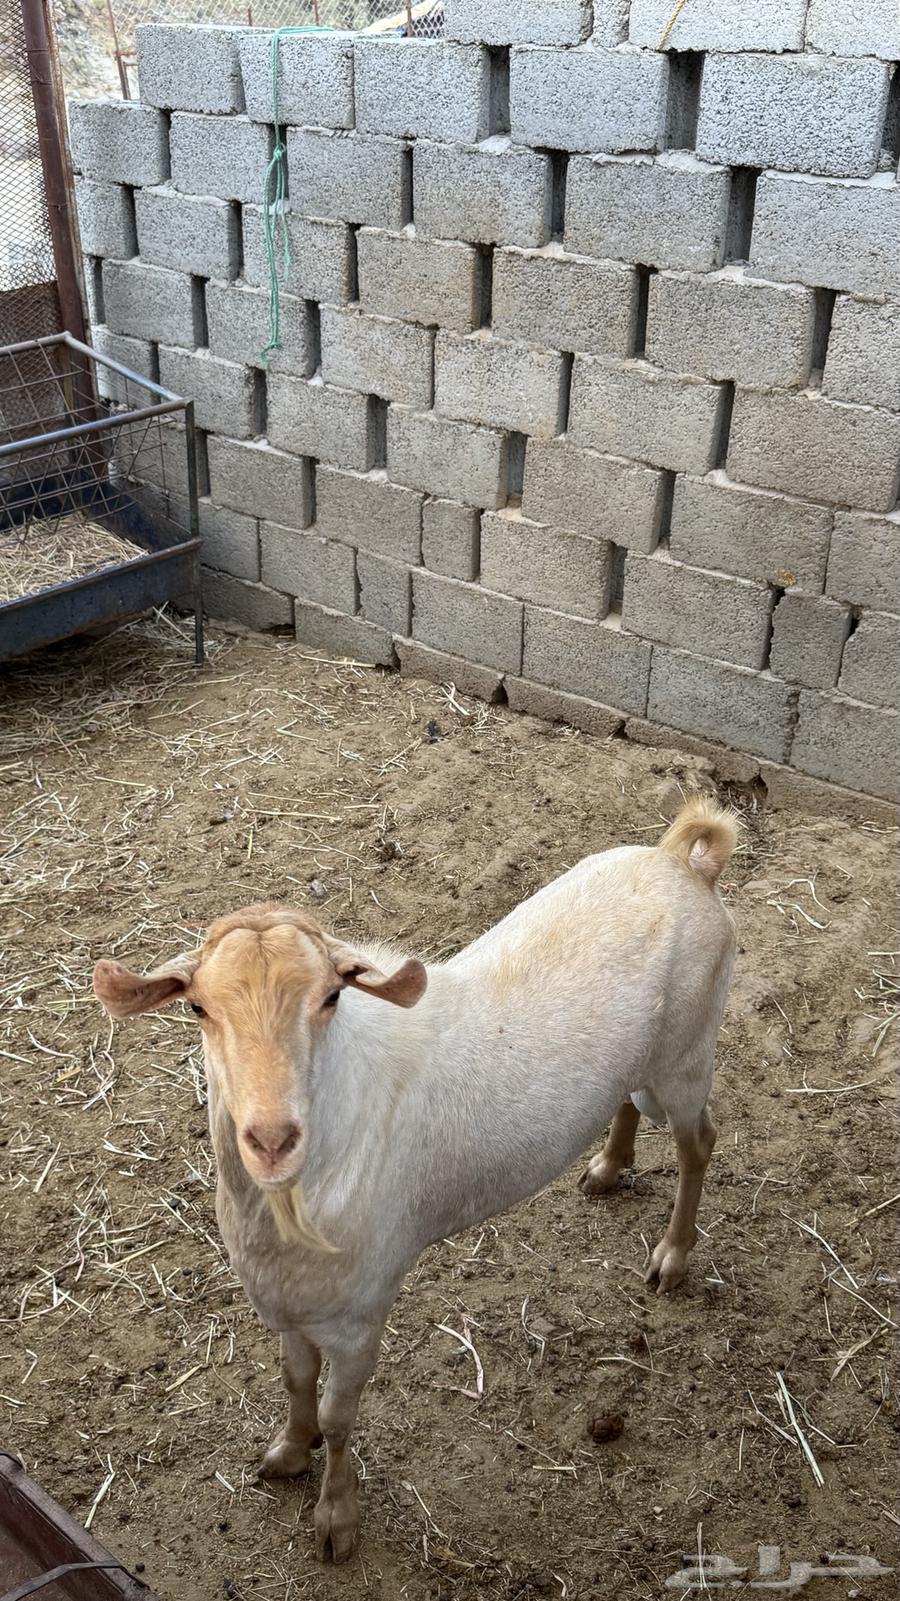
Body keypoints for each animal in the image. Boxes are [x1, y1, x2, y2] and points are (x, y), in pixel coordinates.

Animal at [93, 795, 738, 1562]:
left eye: (330, 998)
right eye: (196, 1006)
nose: (273, 1139)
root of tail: (682, 861)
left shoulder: (359, 1312)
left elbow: (339, 1417)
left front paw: (337, 1519)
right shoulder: (291, 1302)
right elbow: (295, 1381)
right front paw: (286, 1452)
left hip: (689, 1052)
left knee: (699, 1144)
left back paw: (672, 1256)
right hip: (645, 1057)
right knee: (628, 1100)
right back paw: (608, 1168)